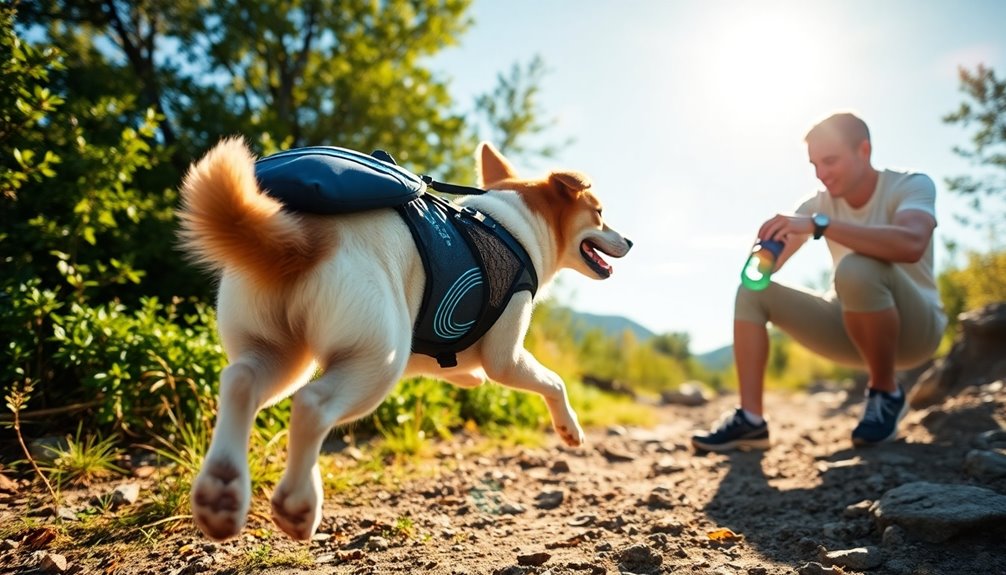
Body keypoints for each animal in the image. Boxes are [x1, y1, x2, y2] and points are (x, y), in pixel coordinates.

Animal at [178, 137, 631, 538]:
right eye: (599, 213)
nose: (629, 240)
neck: (511, 227)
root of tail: (300, 240)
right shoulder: (506, 356)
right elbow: (552, 381)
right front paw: (569, 427)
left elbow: (456, 368)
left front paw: (467, 377)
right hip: (378, 360)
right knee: (311, 405)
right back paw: (298, 504)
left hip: (280, 354)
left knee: (240, 382)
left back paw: (221, 491)